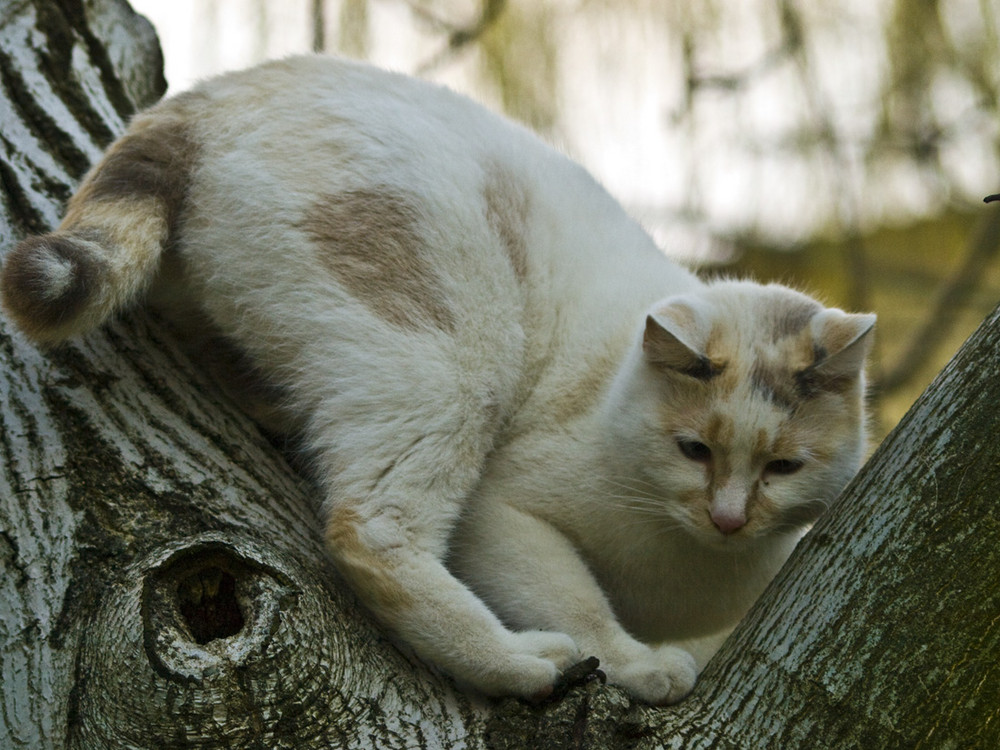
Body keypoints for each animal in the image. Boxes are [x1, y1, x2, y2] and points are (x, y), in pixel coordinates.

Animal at [0, 55, 876, 708]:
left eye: (784, 468)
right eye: (694, 450)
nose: (729, 517)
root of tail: (213, 96)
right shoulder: (505, 510)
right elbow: (579, 604)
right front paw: (632, 666)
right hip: (452, 362)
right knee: (372, 530)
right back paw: (519, 664)